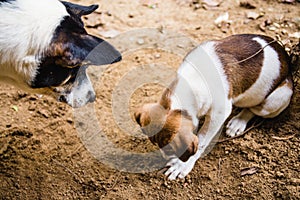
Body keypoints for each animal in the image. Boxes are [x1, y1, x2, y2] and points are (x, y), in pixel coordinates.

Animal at [135, 34, 294, 180]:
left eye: (168, 148)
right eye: (154, 143)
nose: (165, 156)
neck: (193, 79)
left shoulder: (218, 114)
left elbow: (202, 141)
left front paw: (182, 165)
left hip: (276, 99)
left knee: (254, 109)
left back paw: (238, 122)